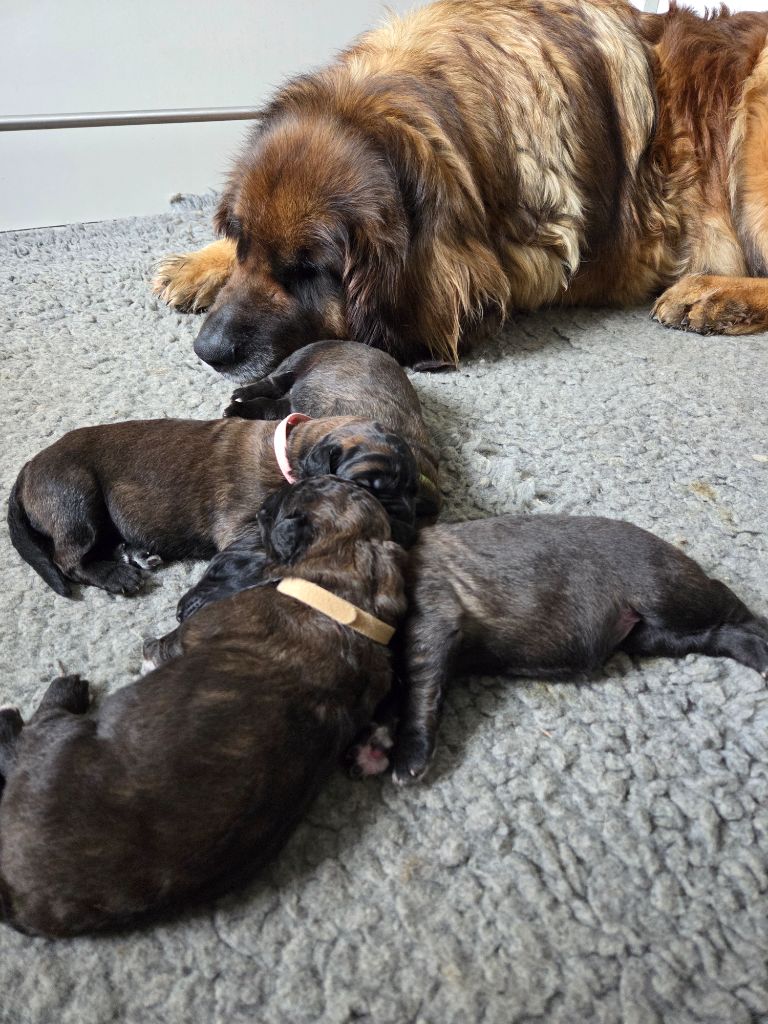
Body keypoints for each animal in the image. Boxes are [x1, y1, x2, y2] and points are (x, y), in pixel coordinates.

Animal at [0, 477, 407, 937]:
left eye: (292, 498)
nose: (276, 493)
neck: (346, 601)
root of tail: (22, 907)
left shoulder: (189, 636)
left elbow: (162, 645)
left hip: (55, 745)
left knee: (31, 733)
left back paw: (54, 694)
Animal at [8, 413, 417, 596]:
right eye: (367, 488)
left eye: (413, 487)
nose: (409, 521)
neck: (292, 451)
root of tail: (28, 466)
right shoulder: (245, 523)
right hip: (78, 501)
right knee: (69, 558)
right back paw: (117, 575)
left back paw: (135, 554)